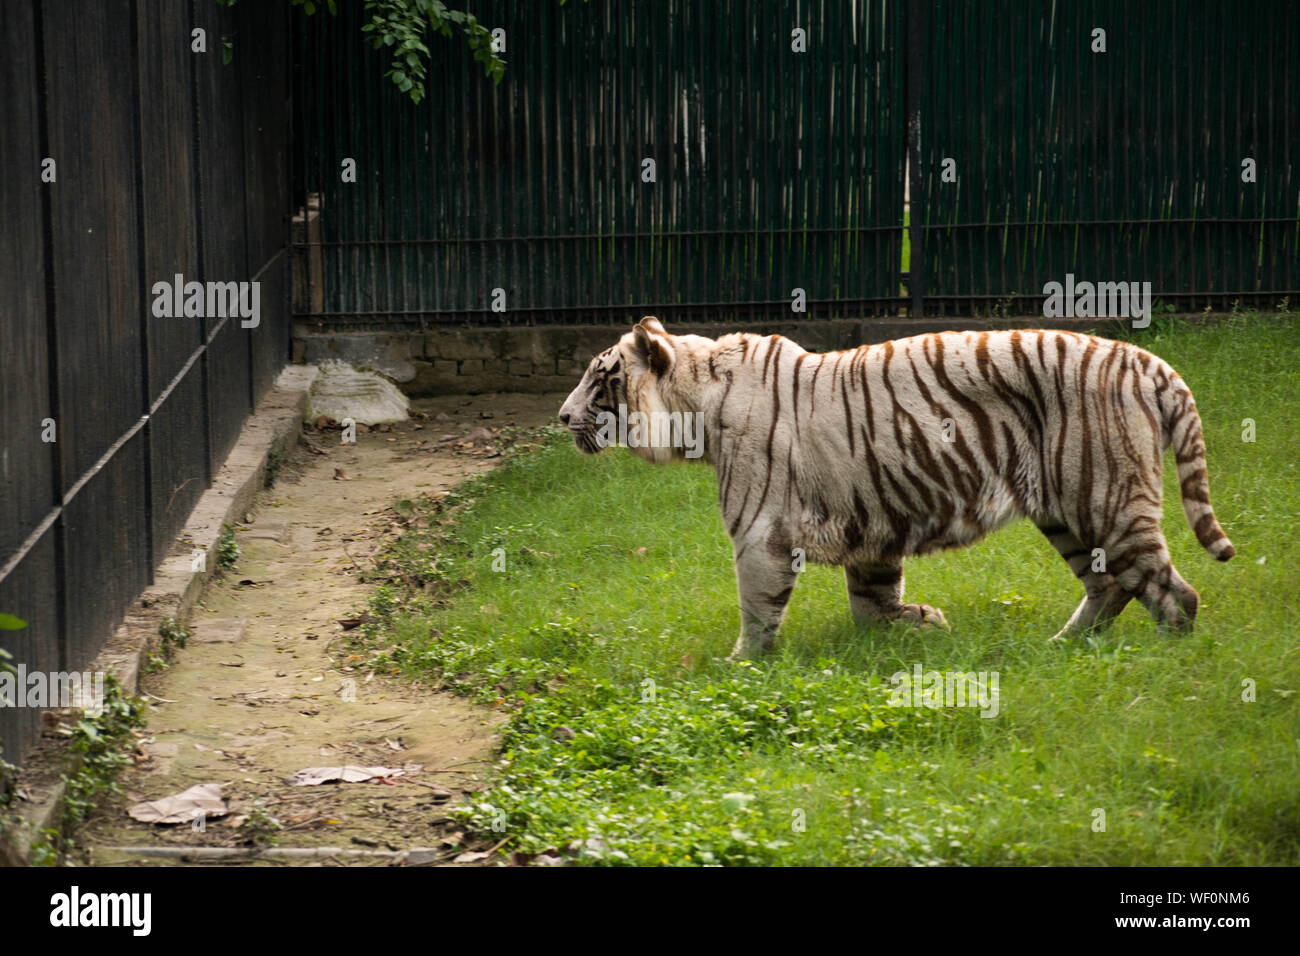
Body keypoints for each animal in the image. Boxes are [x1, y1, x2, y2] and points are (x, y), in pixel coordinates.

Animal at [558, 317, 1234, 660]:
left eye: (598, 379)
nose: (562, 418)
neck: (696, 402)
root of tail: (1148, 361)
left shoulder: (759, 534)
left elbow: (757, 609)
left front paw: (740, 668)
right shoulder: (869, 519)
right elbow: (870, 603)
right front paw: (921, 622)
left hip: (1104, 497)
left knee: (1175, 593)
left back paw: (1165, 661)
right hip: (1065, 511)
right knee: (1108, 584)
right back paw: (1061, 646)